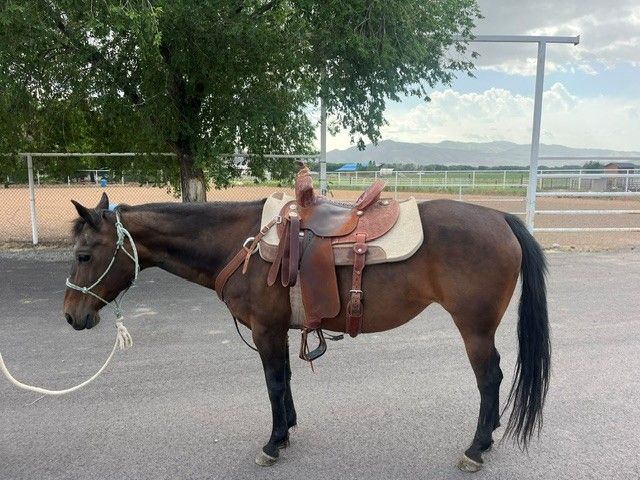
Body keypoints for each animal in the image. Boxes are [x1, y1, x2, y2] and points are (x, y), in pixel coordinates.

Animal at [63, 191, 549, 472]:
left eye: (85, 255)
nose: (71, 315)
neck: (242, 243)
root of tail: (503, 220)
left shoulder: (265, 329)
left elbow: (274, 383)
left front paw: (274, 442)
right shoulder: (280, 329)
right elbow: (286, 379)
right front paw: (289, 428)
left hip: (475, 329)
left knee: (489, 379)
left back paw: (477, 447)